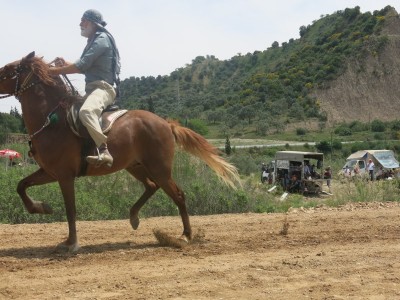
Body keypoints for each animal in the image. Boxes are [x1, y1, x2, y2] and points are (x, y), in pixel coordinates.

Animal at [0, 52, 239, 252]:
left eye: (8, 69)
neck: (52, 122)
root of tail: (165, 123)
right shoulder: (50, 172)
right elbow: (21, 186)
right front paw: (41, 207)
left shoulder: (65, 176)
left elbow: (70, 209)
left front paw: (71, 243)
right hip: (136, 167)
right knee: (151, 187)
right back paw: (134, 217)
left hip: (160, 170)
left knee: (178, 195)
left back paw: (185, 236)